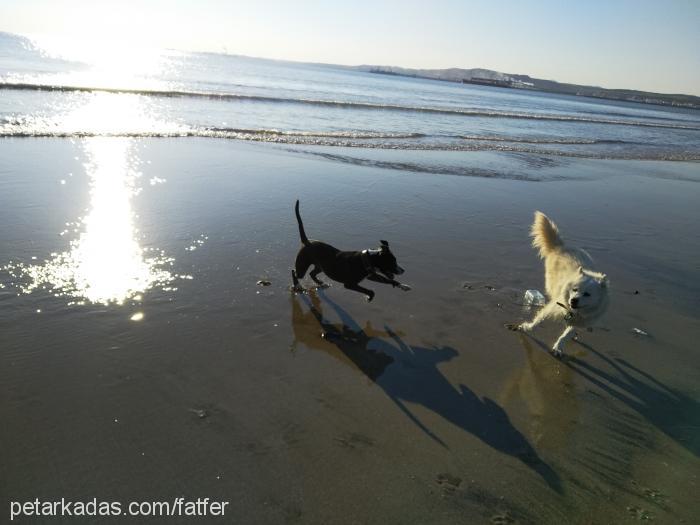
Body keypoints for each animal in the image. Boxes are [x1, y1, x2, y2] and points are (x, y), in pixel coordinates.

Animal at [508, 211, 608, 354]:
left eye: (587, 294)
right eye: (575, 289)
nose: (573, 300)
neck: (573, 312)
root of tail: (561, 246)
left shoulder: (581, 320)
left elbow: (567, 334)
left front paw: (558, 347)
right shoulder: (554, 307)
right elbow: (539, 319)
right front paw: (526, 327)